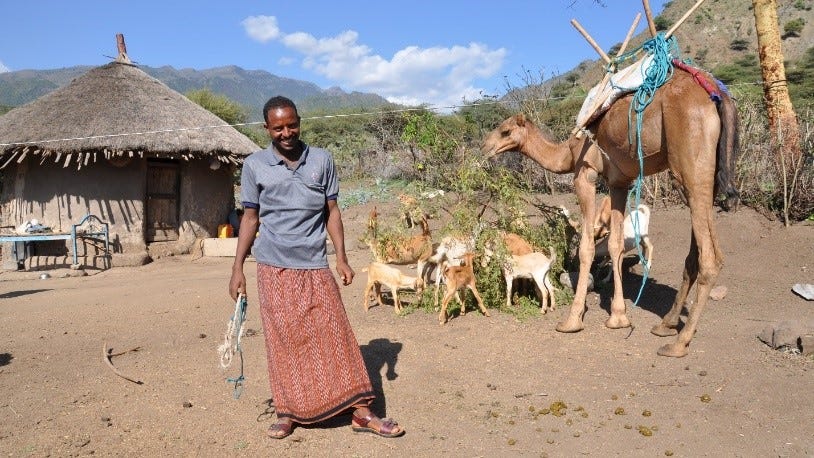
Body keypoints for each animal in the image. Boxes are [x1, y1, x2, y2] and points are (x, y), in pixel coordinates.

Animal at [482, 70, 744, 358]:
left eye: (505, 131)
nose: (485, 147)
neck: (568, 152)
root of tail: (718, 97)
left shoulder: (584, 174)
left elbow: (586, 247)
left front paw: (572, 320)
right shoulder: (620, 183)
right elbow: (615, 245)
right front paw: (618, 317)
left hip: (691, 165)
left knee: (711, 258)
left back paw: (679, 342)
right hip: (708, 175)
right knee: (694, 254)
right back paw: (666, 324)